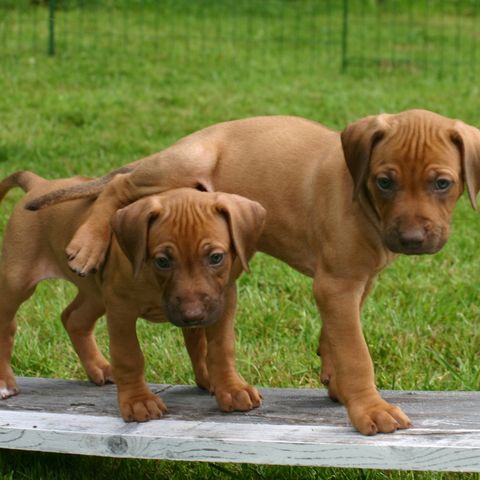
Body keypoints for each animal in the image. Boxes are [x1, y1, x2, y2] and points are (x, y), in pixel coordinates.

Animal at [0, 172, 266, 420]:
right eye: (162, 261)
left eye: (216, 257)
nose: (193, 316)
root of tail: (40, 183)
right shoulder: (121, 309)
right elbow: (129, 356)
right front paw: (139, 401)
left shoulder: (222, 300)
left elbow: (220, 347)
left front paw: (230, 388)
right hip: (17, 282)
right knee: (7, 326)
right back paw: (4, 383)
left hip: (96, 292)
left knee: (73, 318)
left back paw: (99, 368)